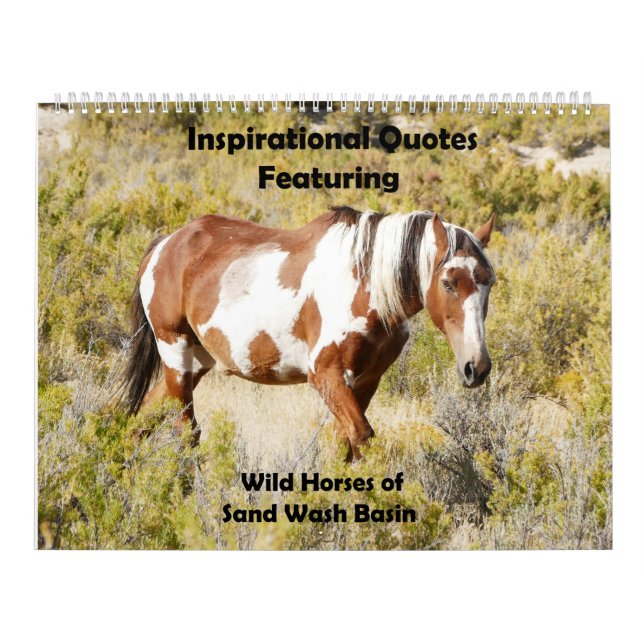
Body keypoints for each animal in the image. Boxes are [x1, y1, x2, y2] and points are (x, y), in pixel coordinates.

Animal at [121, 206, 496, 461]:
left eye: (489, 282)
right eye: (448, 283)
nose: (476, 367)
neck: (368, 286)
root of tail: (164, 246)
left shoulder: (366, 380)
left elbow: (346, 446)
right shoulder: (326, 376)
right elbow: (363, 437)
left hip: (196, 362)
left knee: (141, 421)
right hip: (177, 354)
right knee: (186, 432)